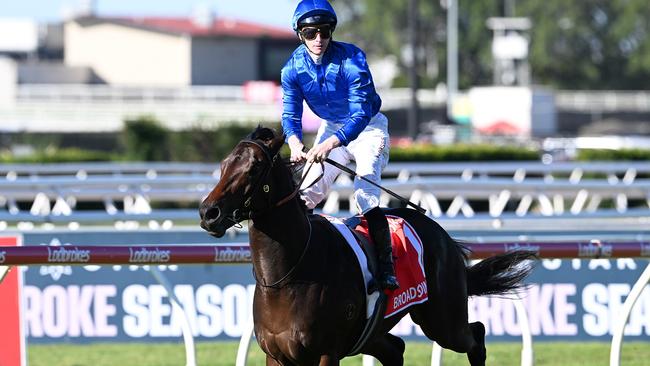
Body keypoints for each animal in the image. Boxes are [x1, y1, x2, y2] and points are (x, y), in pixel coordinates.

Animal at [199, 127, 536, 364]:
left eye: (254, 167)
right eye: (224, 164)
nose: (208, 213)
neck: (286, 277)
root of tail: (443, 236)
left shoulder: (326, 352)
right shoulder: (276, 355)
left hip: (443, 320)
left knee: (476, 335)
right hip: (375, 332)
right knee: (396, 349)